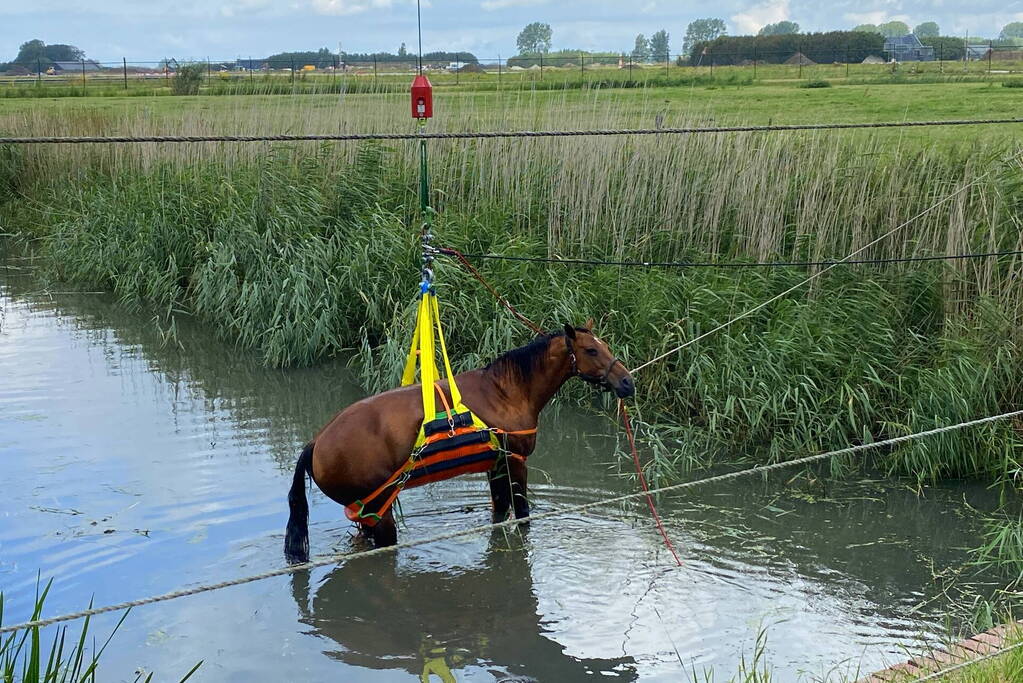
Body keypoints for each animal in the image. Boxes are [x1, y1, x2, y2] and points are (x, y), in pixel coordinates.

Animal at [284, 320, 635, 562]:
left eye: (604, 345)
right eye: (591, 350)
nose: (627, 382)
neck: (506, 393)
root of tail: (316, 443)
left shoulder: (495, 467)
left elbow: (499, 514)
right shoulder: (515, 463)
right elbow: (522, 516)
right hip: (378, 513)